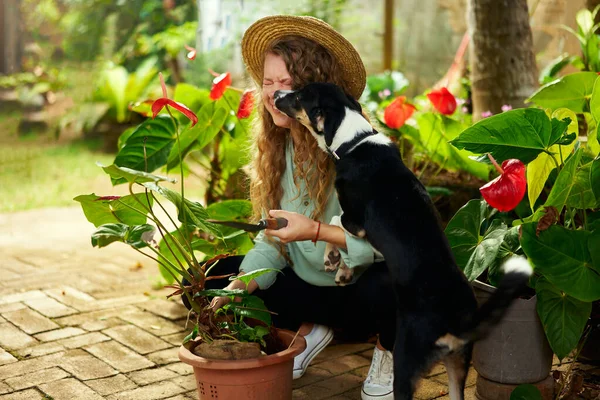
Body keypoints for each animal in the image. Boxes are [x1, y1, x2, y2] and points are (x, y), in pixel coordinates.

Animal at [274, 83, 532, 400]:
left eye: (298, 95)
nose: (275, 96)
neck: (355, 140)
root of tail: (457, 321)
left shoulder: (357, 223)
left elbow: (333, 223)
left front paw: (334, 260)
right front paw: (343, 267)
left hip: (406, 361)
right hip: (458, 364)